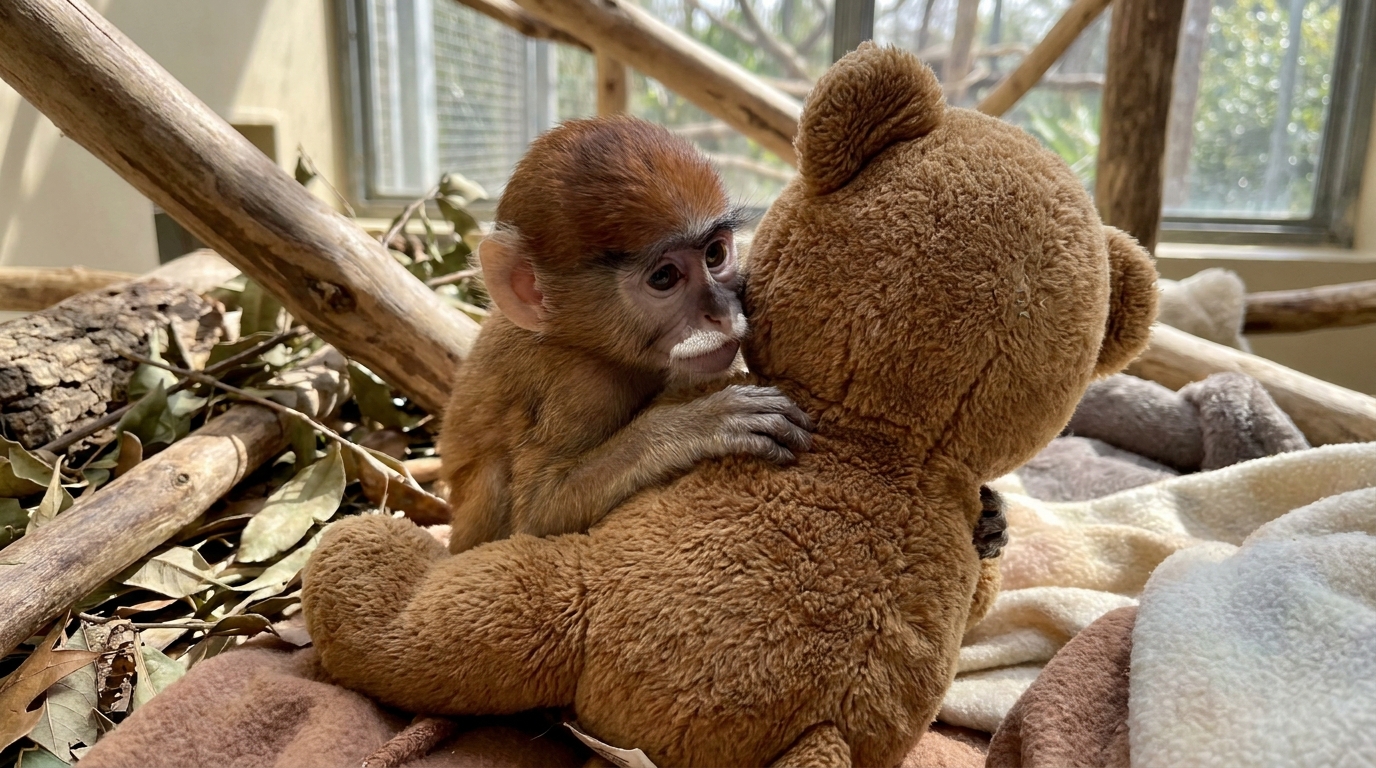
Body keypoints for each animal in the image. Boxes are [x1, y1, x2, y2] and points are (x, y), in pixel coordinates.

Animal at [438, 115, 813, 554]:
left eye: (714, 254)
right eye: (664, 277)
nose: (720, 314)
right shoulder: (579, 384)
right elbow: (536, 515)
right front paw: (699, 424)